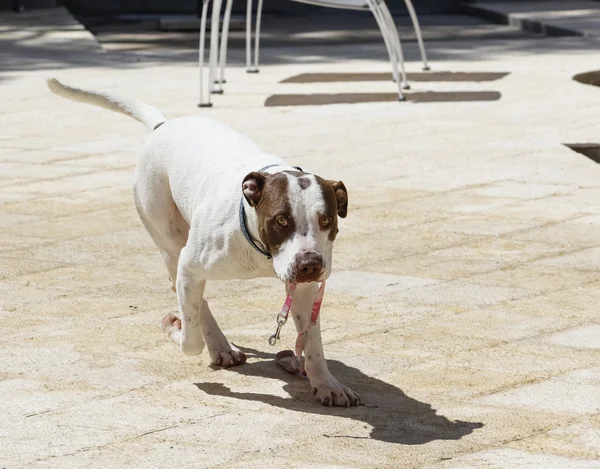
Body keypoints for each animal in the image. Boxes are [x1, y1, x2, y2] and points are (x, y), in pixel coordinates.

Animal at [47, 77, 358, 406]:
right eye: (281, 220)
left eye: (327, 220)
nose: (310, 264)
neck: (259, 249)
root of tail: (163, 125)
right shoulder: (191, 265)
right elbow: (191, 339)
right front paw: (175, 330)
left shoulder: (305, 289)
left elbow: (312, 343)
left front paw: (326, 384)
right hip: (170, 242)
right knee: (187, 292)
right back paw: (216, 344)